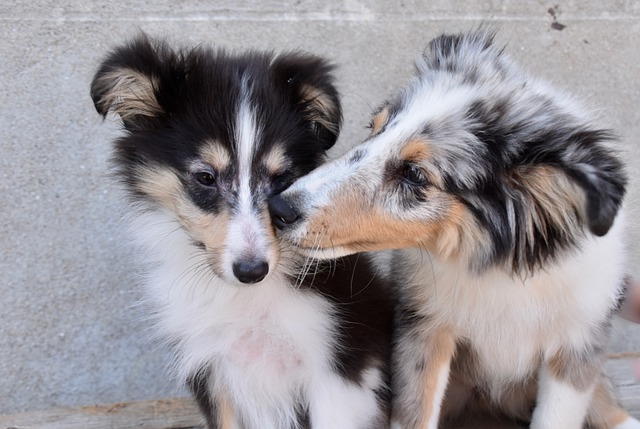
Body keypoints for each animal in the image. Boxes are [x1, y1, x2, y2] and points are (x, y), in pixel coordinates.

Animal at [90, 34, 392, 428]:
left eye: (282, 178)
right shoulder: (211, 369)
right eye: (206, 177)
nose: (252, 271)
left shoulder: (337, 371)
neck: (245, 301)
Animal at [270, 30, 640, 428]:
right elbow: (414, 413)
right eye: (373, 129)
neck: (498, 269)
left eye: (414, 174)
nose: (278, 209)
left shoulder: (578, 344)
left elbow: (558, 416)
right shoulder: (424, 330)